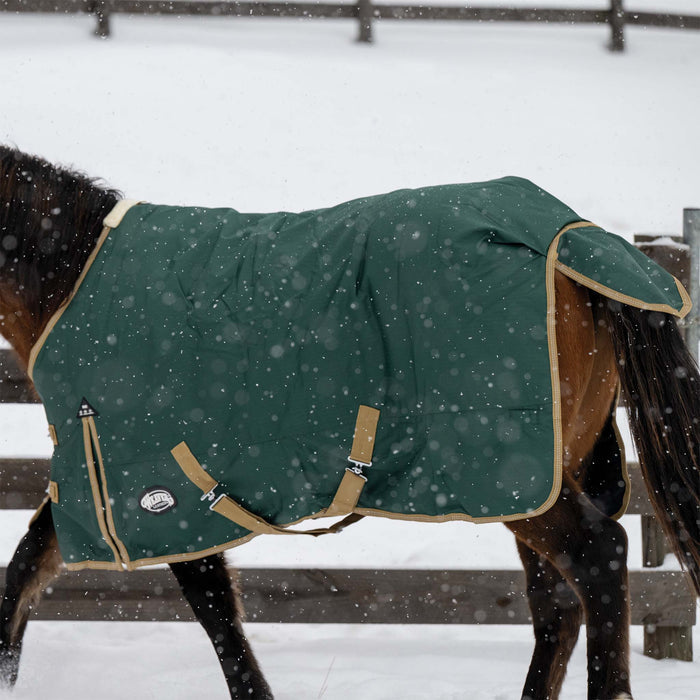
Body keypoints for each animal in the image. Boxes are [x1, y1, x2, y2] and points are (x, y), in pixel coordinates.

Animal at [0, 144, 699, 700]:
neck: (73, 284)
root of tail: (571, 243)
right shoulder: (108, 488)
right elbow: (25, 566)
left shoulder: (156, 490)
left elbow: (213, 610)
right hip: (542, 477)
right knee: (556, 604)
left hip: (516, 476)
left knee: (599, 559)